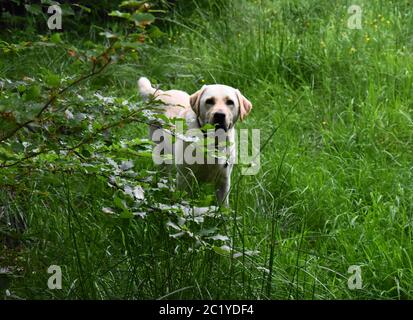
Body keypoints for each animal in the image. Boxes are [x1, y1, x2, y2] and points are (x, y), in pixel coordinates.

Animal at [138, 78, 251, 208]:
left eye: (230, 102)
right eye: (209, 101)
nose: (219, 115)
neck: (212, 141)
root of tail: (161, 93)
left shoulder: (224, 180)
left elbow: (223, 207)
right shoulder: (184, 177)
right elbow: (183, 202)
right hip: (161, 154)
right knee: (164, 175)